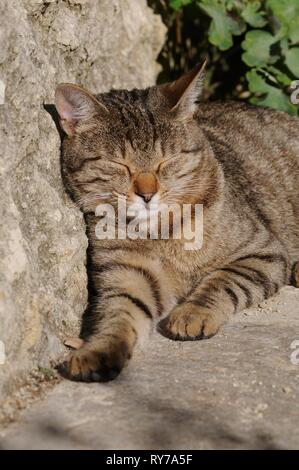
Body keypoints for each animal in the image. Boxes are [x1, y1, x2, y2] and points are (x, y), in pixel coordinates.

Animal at [54, 63, 299, 382]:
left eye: (166, 161)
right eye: (119, 165)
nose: (147, 194)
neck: (161, 231)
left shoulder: (263, 252)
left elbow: (222, 281)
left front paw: (193, 313)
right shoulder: (128, 277)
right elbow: (117, 315)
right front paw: (100, 351)